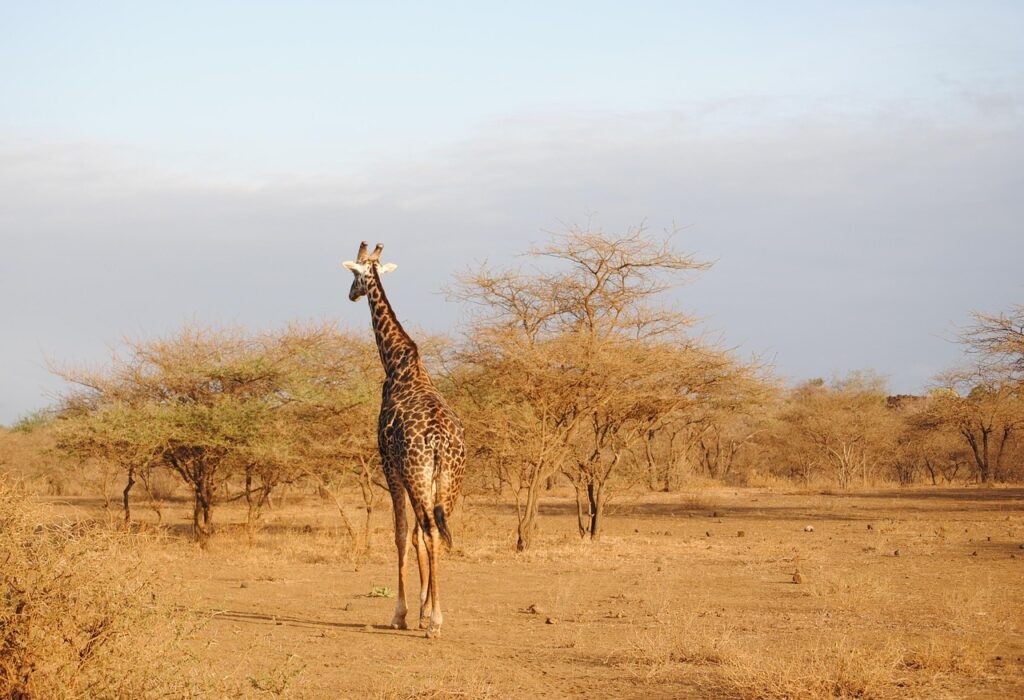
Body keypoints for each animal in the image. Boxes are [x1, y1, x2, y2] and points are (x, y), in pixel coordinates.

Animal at [342, 242, 466, 639]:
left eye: (355, 274)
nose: (351, 294)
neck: (397, 363)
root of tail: (441, 442)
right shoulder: (414, 476)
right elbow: (414, 536)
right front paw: (422, 609)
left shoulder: (388, 463)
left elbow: (399, 534)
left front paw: (403, 613)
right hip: (448, 482)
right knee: (436, 531)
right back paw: (435, 615)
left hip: (417, 473)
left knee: (429, 531)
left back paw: (435, 621)